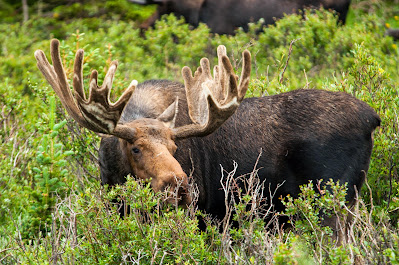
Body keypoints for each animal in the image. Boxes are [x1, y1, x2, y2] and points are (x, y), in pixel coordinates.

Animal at [35, 39, 382, 229]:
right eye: (135, 148)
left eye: (175, 146)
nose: (179, 186)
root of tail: (373, 118)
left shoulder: (199, 215)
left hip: (331, 200)